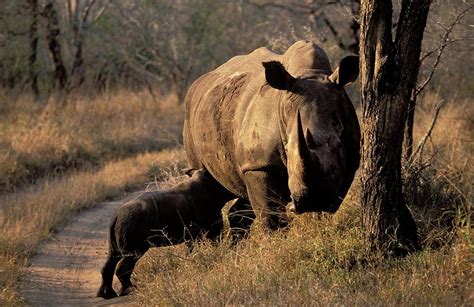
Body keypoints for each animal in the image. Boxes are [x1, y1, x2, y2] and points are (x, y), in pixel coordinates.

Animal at [96, 170, 230, 300]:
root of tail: (116, 216)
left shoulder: (193, 231)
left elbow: (194, 247)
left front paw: (191, 261)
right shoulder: (207, 223)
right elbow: (213, 239)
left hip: (122, 223)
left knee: (113, 256)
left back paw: (107, 295)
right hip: (131, 222)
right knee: (131, 255)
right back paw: (130, 290)